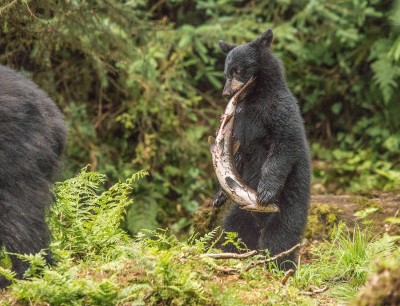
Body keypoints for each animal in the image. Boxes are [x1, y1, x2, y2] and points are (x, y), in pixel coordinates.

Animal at [212, 28, 312, 268]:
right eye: (226, 73)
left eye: (238, 70)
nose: (226, 94)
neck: (254, 98)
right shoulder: (240, 120)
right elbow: (239, 153)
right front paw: (219, 195)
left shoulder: (279, 109)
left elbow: (285, 144)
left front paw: (266, 191)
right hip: (242, 212)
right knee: (234, 229)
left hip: (289, 205)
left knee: (280, 238)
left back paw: (277, 266)